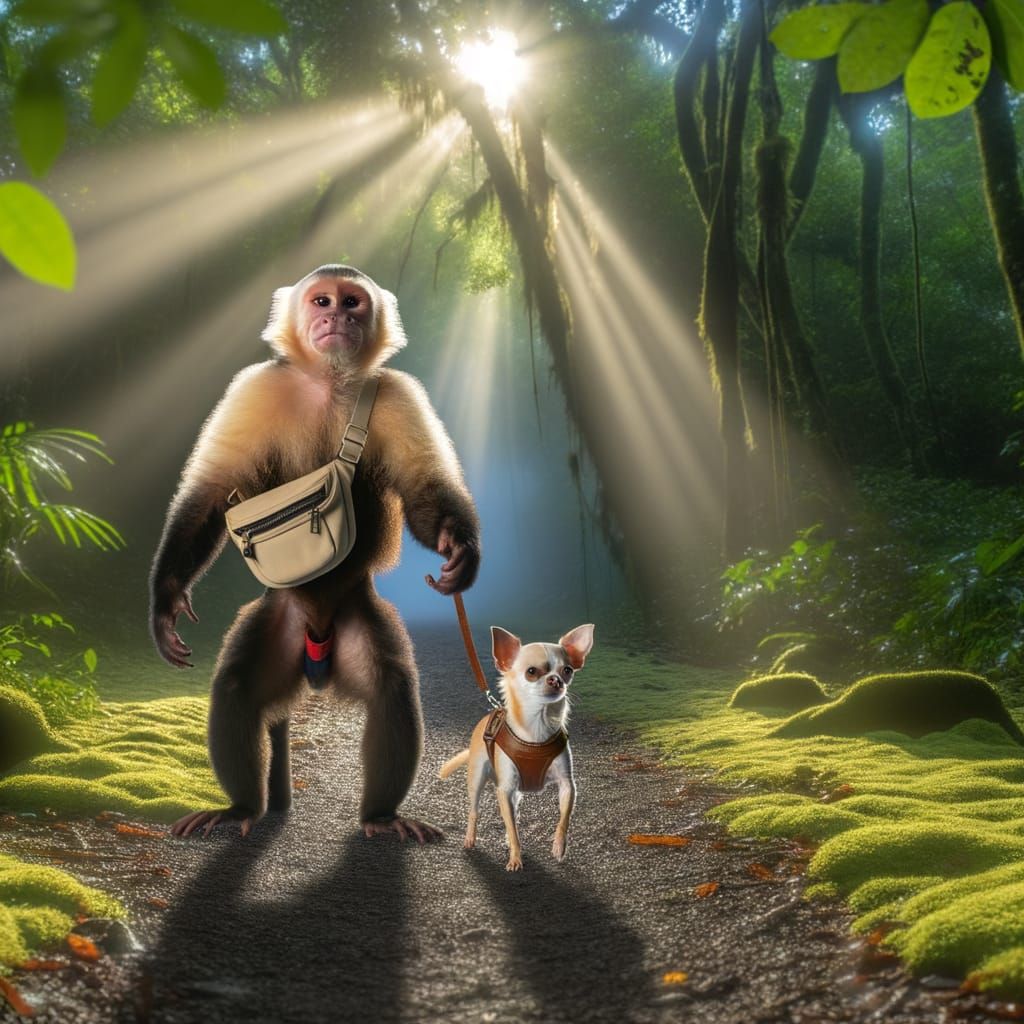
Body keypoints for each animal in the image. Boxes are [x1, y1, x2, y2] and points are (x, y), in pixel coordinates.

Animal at [150, 264, 480, 843]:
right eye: (322, 301)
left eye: (352, 303)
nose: (335, 318)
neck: (328, 381)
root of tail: (317, 655)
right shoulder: (253, 388)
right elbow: (210, 494)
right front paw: (166, 601)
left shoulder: (397, 393)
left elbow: (423, 488)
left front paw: (458, 547)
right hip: (279, 613)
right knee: (236, 689)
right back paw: (240, 808)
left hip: (355, 611)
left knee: (392, 690)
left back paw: (381, 816)